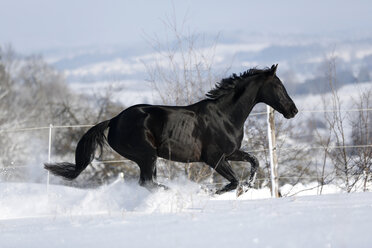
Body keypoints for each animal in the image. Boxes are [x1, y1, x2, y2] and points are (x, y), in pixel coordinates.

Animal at [45, 65, 298, 195]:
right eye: (278, 85)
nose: (293, 110)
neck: (224, 115)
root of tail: (115, 120)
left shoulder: (231, 153)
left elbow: (254, 161)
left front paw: (249, 185)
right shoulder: (214, 158)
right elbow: (234, 181)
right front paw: (209, 191)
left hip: (148, 158)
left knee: (147, 183)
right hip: (146, 155)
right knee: (147, 183)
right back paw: (172, 191)